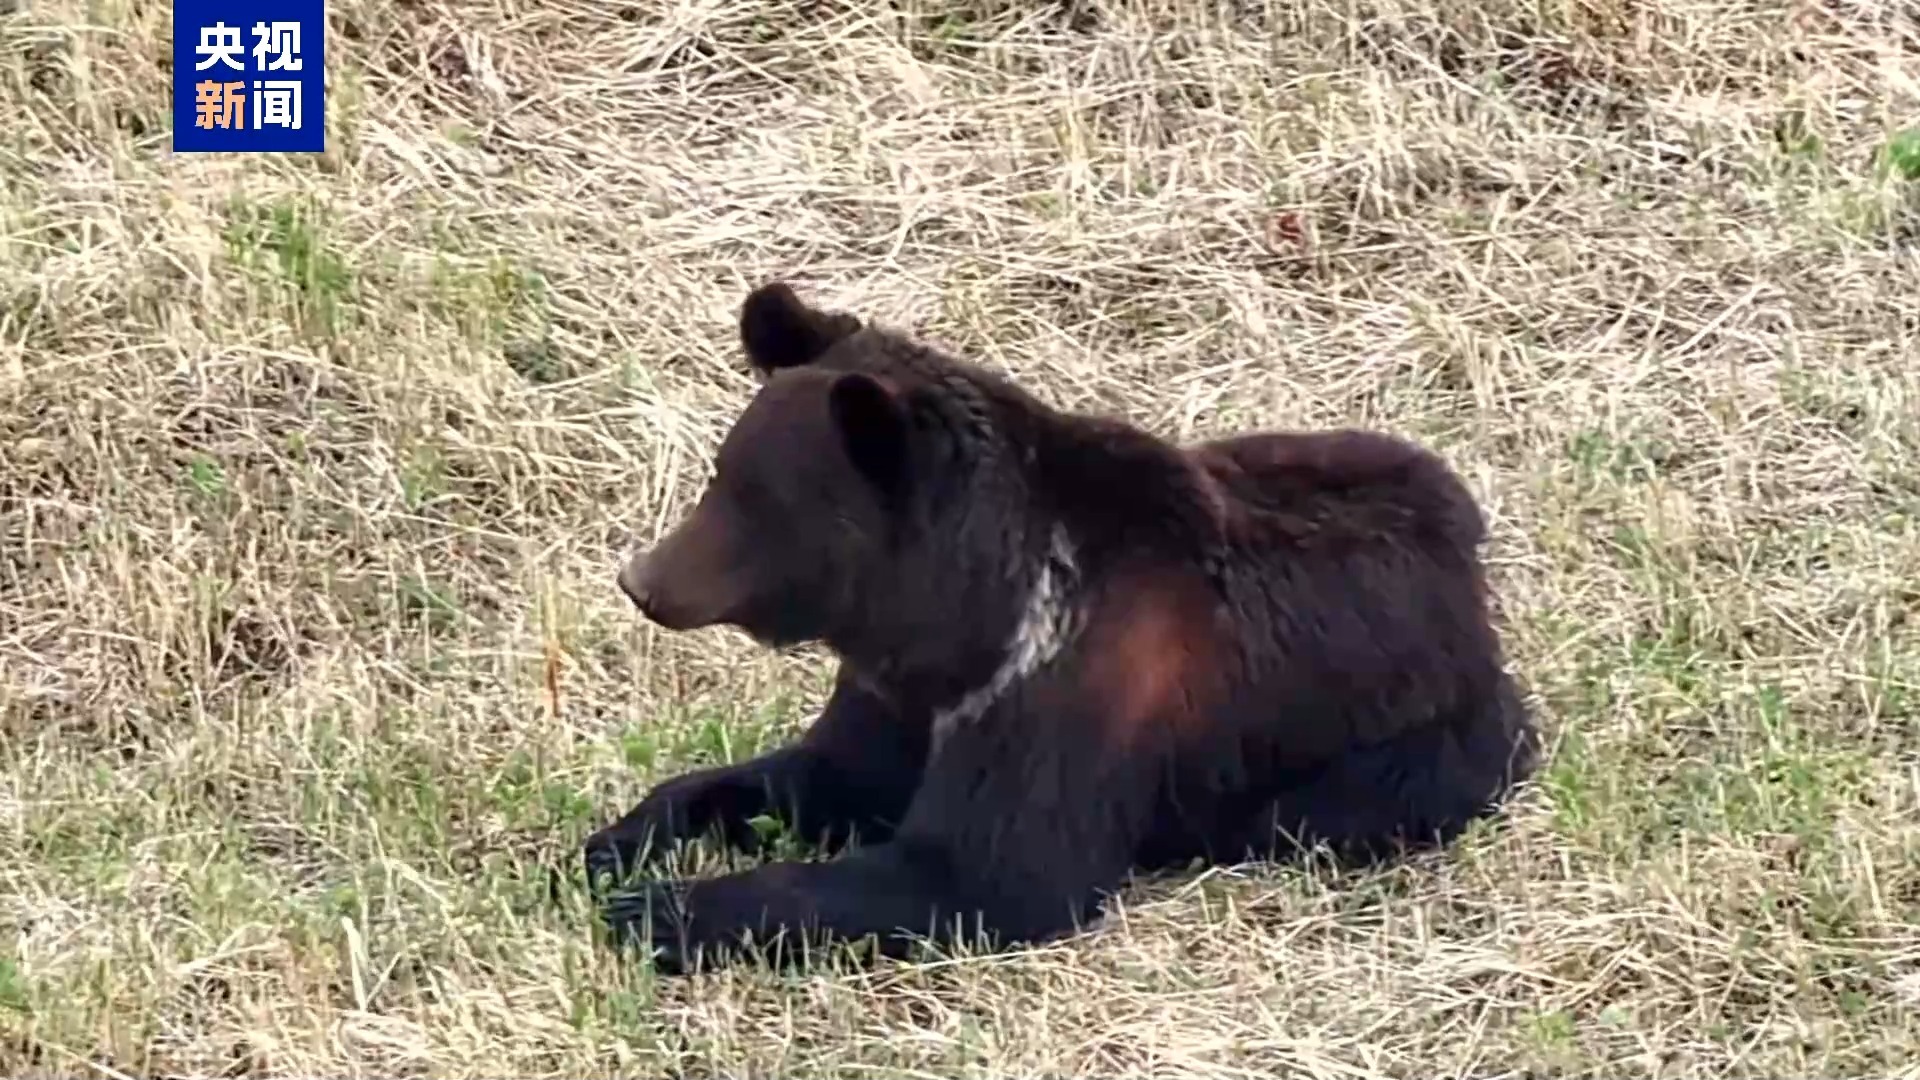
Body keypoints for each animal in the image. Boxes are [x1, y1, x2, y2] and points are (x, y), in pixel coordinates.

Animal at [582, 280, 1540, 974]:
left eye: (756, 499)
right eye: (722, 473)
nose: (641, 580)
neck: (962, 617)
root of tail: (1469, 562)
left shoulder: (1070, 692)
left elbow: (982, 873)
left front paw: (660, 911)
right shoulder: (905, 694)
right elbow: (815, 775)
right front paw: (615, 847)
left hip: (1413, 748)